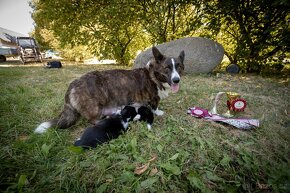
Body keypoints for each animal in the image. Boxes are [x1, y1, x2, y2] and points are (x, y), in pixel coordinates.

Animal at [34, 47, 184, 134]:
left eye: (179, 66)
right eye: (167, 68)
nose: (176, 80)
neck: (154, 75)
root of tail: (73, 84)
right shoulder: (154, 98)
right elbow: (155, 107)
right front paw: (159, 112)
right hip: (94, 108)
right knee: (93, 120)